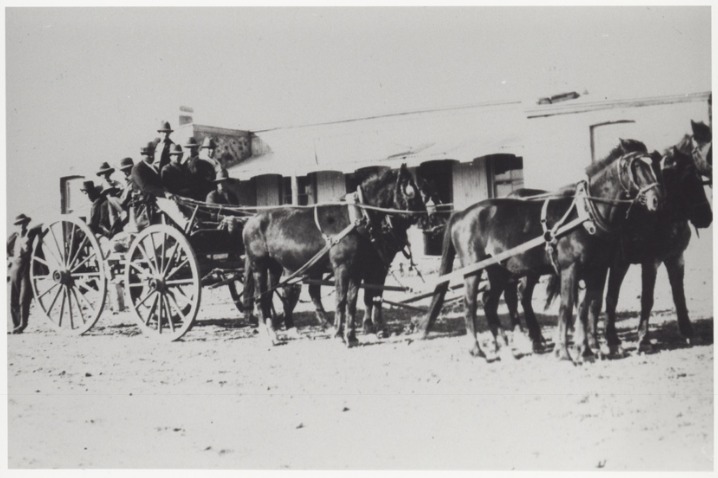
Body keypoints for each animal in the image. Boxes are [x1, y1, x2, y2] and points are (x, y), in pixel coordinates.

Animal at [245, 163, 430, 344]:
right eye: (411, 191)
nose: (426, 218)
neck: (355, 219)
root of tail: (251, 220)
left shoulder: (359, 269)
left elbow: (354, 300)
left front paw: (353, 336)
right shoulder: (344, 268)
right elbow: (342, 300)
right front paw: (341, 334)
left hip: (277, 267)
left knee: (273, 295)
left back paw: (279, 330)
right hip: (259, 266)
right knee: (260, 296)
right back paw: (267, 332)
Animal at [416, 139, 664, 362]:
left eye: (654, 165)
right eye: (636, 166)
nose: (656, 199)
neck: (585, 215)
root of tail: (459, 214)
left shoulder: (597, 269)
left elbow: (588, 307)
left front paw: (586, 349)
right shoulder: (571, 268)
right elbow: (567, 307)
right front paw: (564, 351)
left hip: (499, 271)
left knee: (489, 301)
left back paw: (506, 347)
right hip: (473, 269)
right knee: (471, 305)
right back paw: (478, 349)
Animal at [600, 127, 716, 354]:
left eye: (699, 178)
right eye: (685, 180)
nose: (705, 217)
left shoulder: (676, 258)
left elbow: (679, 294)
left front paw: (688, 332)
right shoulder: (649, 261)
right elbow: (646, 298)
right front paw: (643, 339)